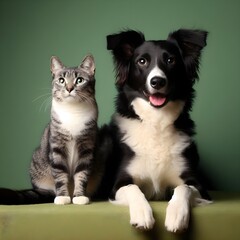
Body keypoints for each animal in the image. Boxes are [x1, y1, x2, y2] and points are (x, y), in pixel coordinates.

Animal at [94, 28, 211, 232]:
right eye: (142, 61)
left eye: (171, 60)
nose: (157, 81)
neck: (157, 122)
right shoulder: (118, 185)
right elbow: (133, 188)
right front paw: (142, 214)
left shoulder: (198, 186)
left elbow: (183, 188)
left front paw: (177, 215)